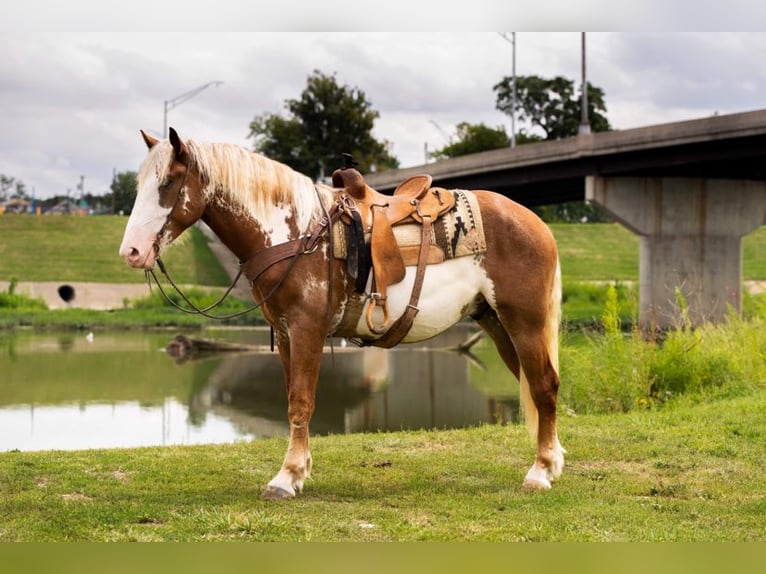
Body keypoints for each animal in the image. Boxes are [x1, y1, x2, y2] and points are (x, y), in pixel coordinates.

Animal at [118, 128, 564, 502]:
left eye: (167, 183)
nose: (132, 252)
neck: (296, 232)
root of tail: (536, 223)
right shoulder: (285, 334)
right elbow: (292, 400)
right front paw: (298, 472)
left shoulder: (307, 330)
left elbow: (301, 402)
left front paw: (286, 477)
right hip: (496, 322)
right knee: (537, 384)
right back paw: (553, 461)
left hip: (524, 322)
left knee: (542, 385)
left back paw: (540, 472)